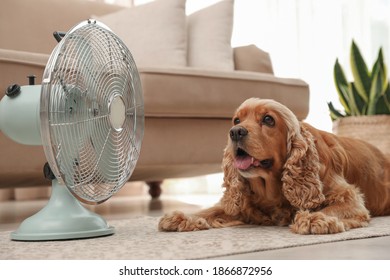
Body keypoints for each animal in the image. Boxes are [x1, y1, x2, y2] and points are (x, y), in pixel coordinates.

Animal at [158, 98, 390, 234]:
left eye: (268, 120)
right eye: (236, 120)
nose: (235, 132)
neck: (271, 188)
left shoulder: (348, 196)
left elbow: (337, 207)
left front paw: (315, 218)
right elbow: (212, 210)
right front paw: (184, 217)